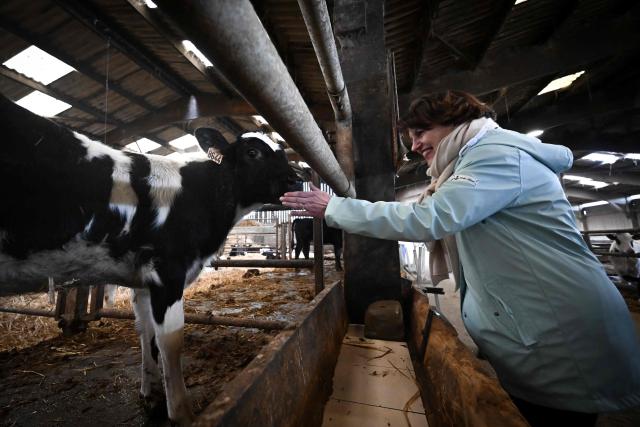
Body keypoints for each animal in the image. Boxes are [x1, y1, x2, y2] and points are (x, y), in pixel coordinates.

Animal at [0, 94, 299, 424]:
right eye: (253, 152)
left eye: (281, 152)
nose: (297, 178)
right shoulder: (168, 272)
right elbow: (171, 341)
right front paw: (181, 412)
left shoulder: (141, 280)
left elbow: (145, 332)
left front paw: (150, 392)